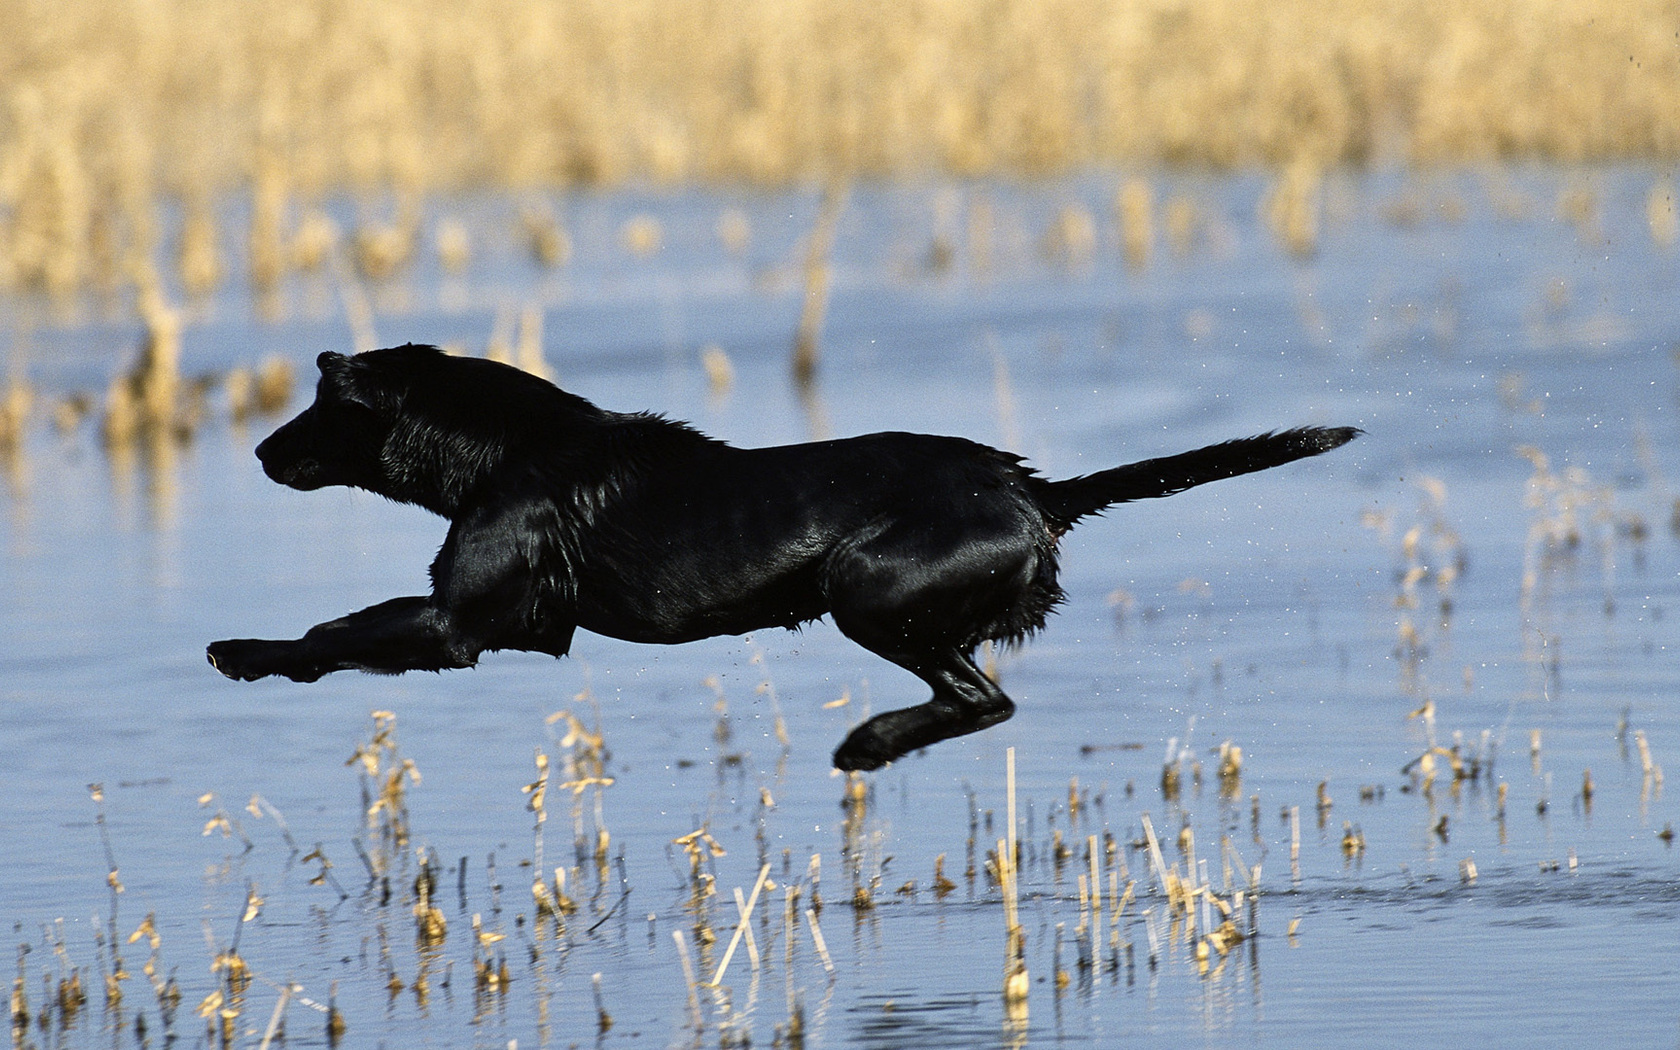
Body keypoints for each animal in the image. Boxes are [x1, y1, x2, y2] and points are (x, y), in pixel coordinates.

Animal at [210, 346, 1357, 769]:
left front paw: (242, 654)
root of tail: (1034, 491)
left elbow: (334, 631)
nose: (260, 451)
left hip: (869, 590)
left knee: (981, 699)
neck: (501, 448)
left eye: (324, 405)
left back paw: (867, 746)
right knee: (980, 697)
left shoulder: (457, 627)